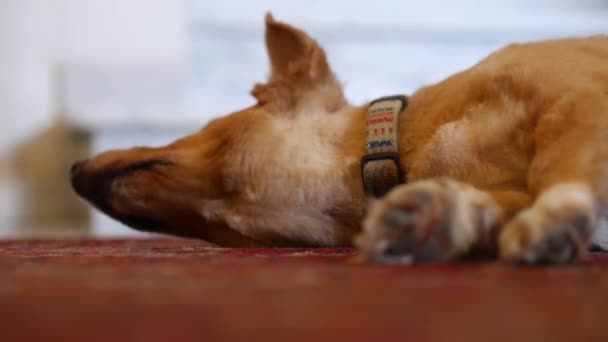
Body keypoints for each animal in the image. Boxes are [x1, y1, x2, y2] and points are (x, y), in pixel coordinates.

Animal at [72, 13, 608, 264]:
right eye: (219, 231)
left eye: (210, 124)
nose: (75, 172)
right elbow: (494, 206)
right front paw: (437, 215)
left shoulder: (579, 99)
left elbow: (557, 168)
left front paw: (556, 216)